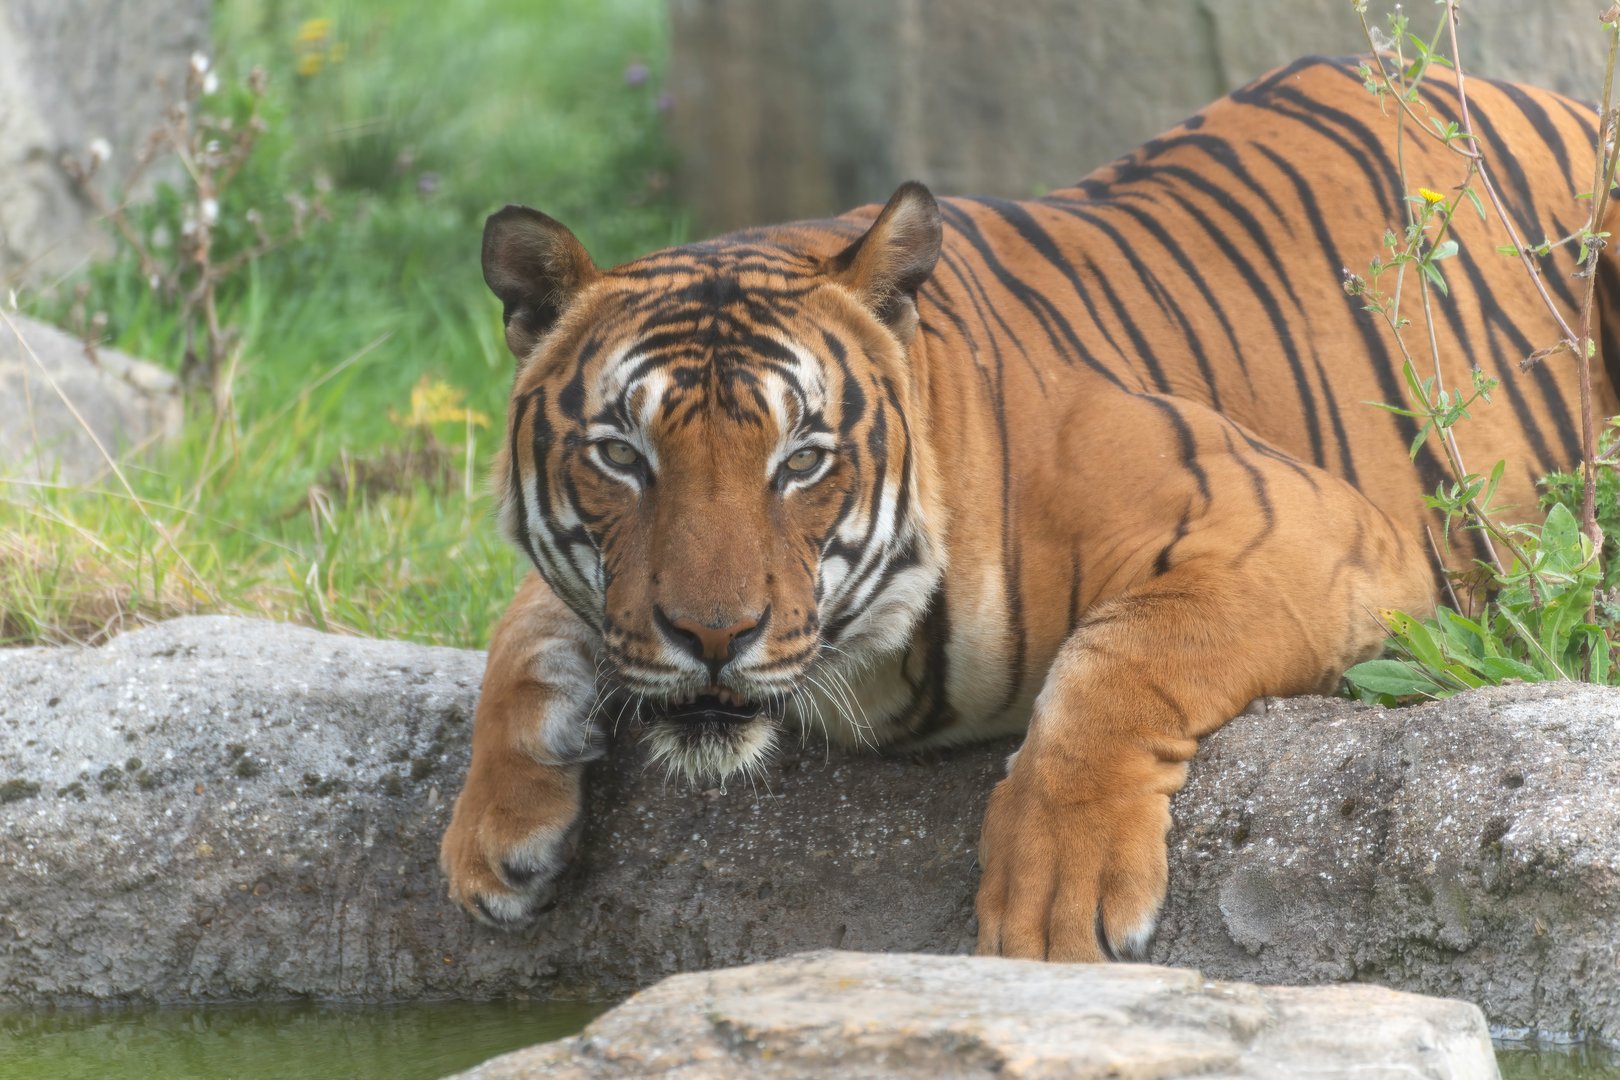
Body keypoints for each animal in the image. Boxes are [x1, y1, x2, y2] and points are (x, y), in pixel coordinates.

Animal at [439, 55, 1618, 962]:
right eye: (621, 455)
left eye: (802, 459)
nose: (713, 636)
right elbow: (523, 622)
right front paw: (493, 831)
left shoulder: (1304, 527)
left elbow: (1124, 655)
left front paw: (1057, 902)